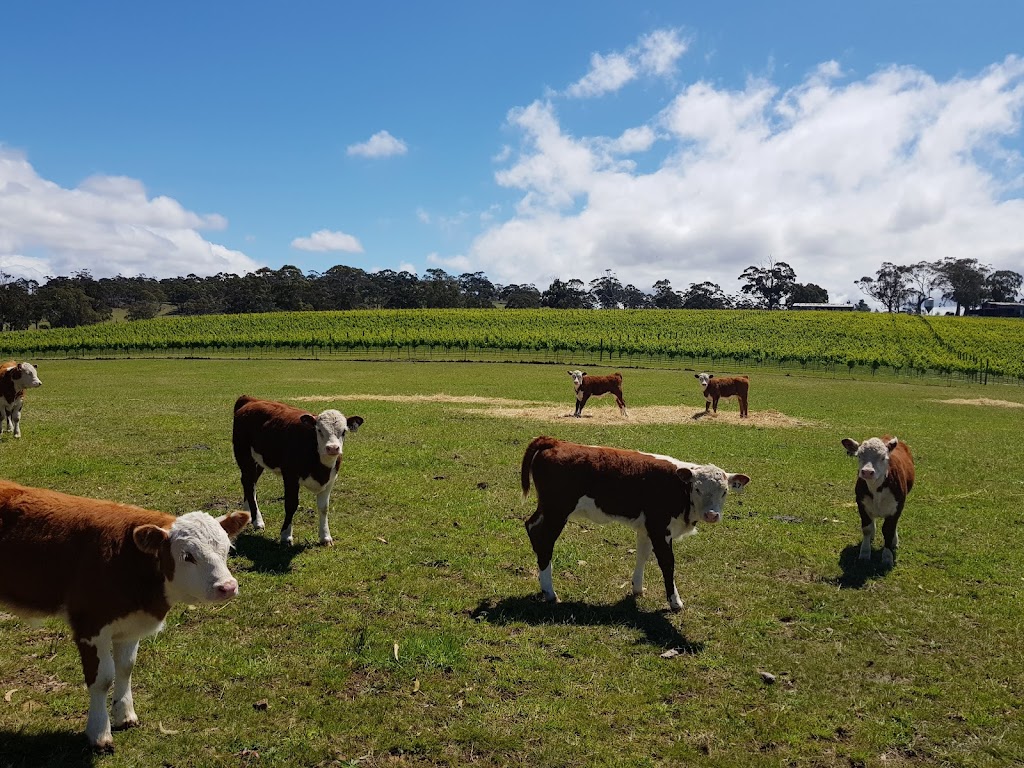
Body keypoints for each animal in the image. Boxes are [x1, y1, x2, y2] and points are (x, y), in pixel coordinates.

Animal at [0, 481, 249, 753]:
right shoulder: (90, 626)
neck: (126, 560)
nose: (228, 587)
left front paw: (125, 715)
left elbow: (126, 668)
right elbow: (102, 679)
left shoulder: (130, 625)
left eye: (227, 548)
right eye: (187, 556)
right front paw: (100, 733)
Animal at [231, 397, 364, 548]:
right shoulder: (290, 476)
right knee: (248, 483)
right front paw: (286, 536)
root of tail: (251, 399)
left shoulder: (331, 479)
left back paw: (248, 513)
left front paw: (325, 537)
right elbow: (291, 504)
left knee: (250, 485)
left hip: (259, 461)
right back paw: (257, 521)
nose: (333, 448)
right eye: (319, 430)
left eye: (344, 431)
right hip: (244, 456)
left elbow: (324, 508)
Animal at [520, 438, 753, 614]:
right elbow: (667, 563)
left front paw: (638, 588)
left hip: (547, 509)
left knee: (531, 527)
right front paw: (675, 601)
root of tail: (556, 442)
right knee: (545, 540)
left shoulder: (646, 528)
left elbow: (642, 555)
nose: (712, 515)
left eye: (724, 491)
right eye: (697, 489)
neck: (679, 488)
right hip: (557, 512)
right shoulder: (660, 529)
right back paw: (550, 592)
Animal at [843, 436, 917, 569]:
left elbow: (888, 531)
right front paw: (865, 553)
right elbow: (867, 529)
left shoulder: (896, 508)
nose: (867, 471)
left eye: (883, 457)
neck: (876, 488)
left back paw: (894, 541)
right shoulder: (862, 504)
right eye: (859, 455)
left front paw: (887, 557)